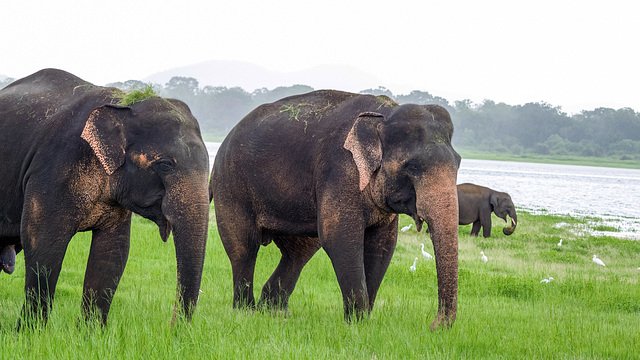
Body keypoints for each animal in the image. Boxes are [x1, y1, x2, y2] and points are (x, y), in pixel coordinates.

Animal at [0, 69, 210, 328]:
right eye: (165, 165)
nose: (173, 329)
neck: (123, 103)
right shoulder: (52, 167)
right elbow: (43, 243)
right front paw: (32, 332)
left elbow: (112, 253)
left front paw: (90, 332)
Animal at [212, 90, 462, 330]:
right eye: (414, 166)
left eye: (458, 162)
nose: (434, 325)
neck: (385, 113)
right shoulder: (341, 170)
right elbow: (341, 239)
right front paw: (356, 323)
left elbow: (383, 245)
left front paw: (364, 321)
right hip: (231, 187)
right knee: (245, 246)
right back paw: (246, 311)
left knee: (298, 252)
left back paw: (275, 311)